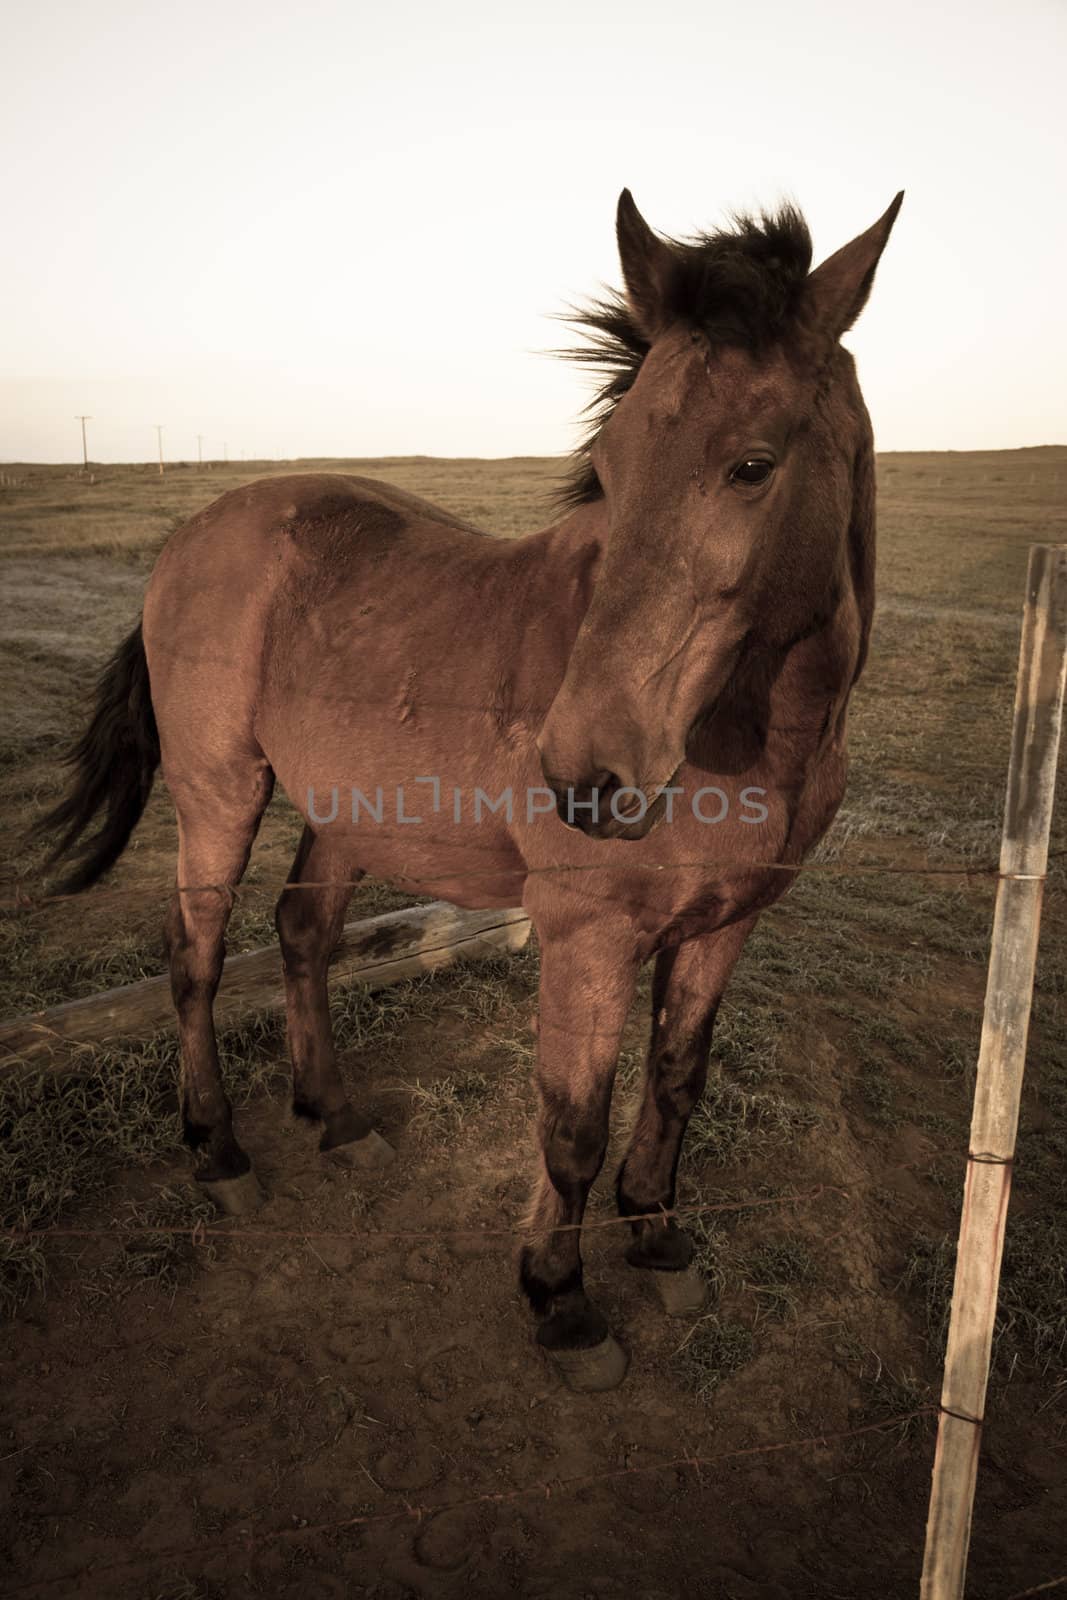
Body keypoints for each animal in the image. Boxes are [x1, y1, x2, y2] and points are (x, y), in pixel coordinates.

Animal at [35, 190, 902, 1388]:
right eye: (609, 465)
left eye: (752, 464)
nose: (583, 774)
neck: (749, 736)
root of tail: (195, 534)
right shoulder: (587, 935)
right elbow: (571, 1123)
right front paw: (561, 1299)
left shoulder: (727, 925)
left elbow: (677, 1079)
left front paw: (658, 1237)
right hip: (219, 792)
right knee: (195, 958)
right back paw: (218, 1150)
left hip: (342, 814)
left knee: (301, 934)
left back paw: (337, 1119)